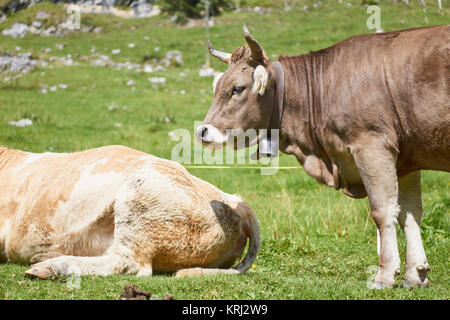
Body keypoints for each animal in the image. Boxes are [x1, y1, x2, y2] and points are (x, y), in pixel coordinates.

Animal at [197, 25, 450, 288]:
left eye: (236, 89)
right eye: (217, 87)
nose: (202, 131)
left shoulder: (373, 145)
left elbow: (383, 211)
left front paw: (386, 275)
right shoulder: (406, 161)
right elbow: (409, 214)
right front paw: (415, 274)